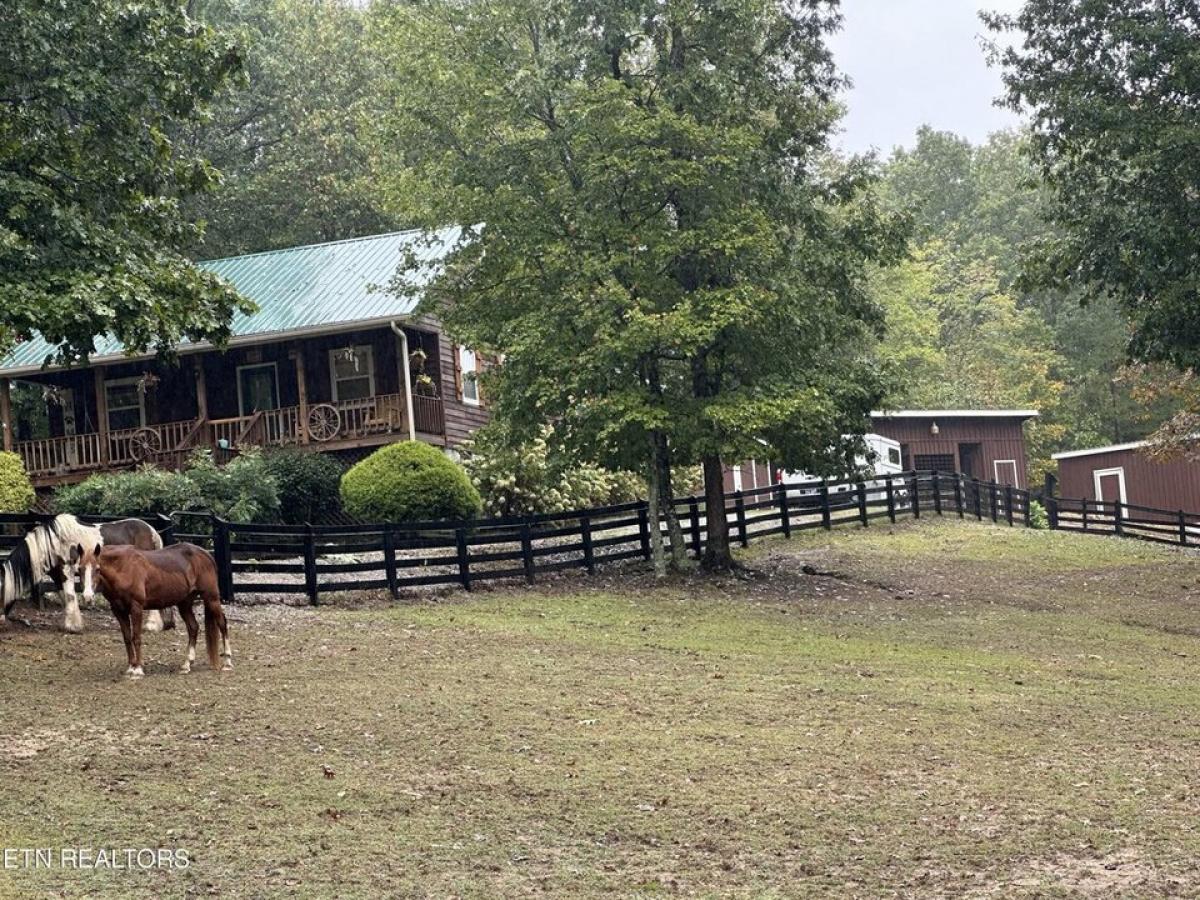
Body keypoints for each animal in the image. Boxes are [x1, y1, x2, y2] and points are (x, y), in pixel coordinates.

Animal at [0, 513, 174, 633]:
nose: (0, 621)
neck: (53, 542)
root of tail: (153, 531)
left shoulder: (67, 570)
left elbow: (70, 596)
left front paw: (73, 627)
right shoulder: (57, 576)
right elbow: (65, 597)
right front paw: (72, 623)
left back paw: (152, 625)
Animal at [76, 540, 234, 681]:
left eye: (97, 569)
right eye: (80, 569)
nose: (87, 597)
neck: (123, 568)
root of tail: (206, 555)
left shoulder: (136, 608)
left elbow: (136, 637)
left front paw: (138, 670)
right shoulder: (119, 611)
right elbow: (127, 638)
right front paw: (130, 667)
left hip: (211, 598)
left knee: (222, 623)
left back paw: (227, 662)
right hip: (185, 604)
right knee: (193, 628)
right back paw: (187, 664)